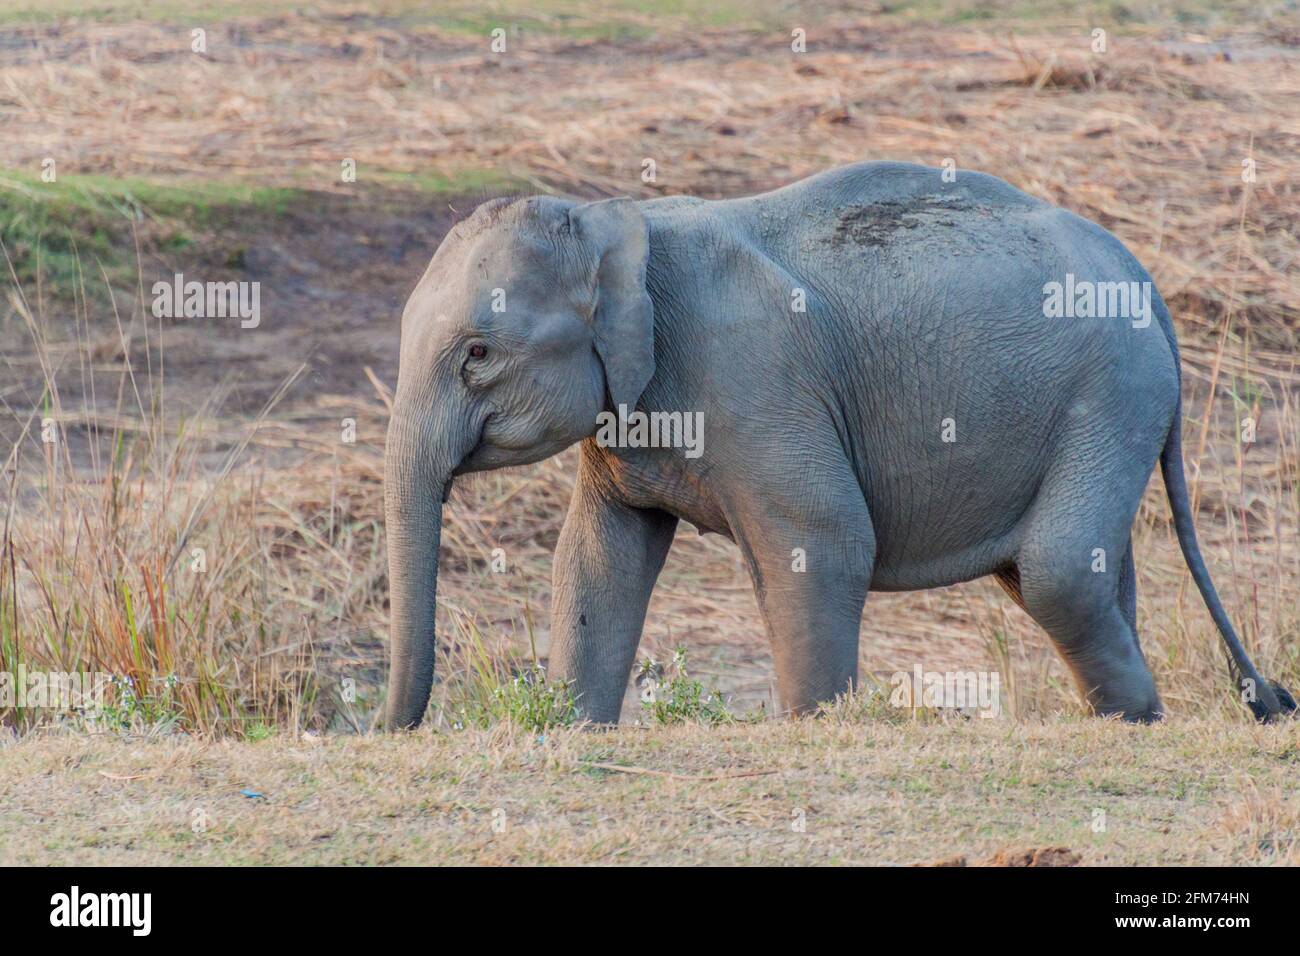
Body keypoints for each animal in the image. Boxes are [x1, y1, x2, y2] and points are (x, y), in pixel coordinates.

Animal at [379, 160, 1294, 728]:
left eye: (477, 355)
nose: (395, 731)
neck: (613, 223)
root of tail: (1145, 279)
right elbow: (598, 560)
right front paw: (573, 728)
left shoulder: (751, 376)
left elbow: (823, 539)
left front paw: (813, 724)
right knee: (1082, 571)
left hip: (1113, 395)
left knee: (1057, 571)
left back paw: (1141, 719)